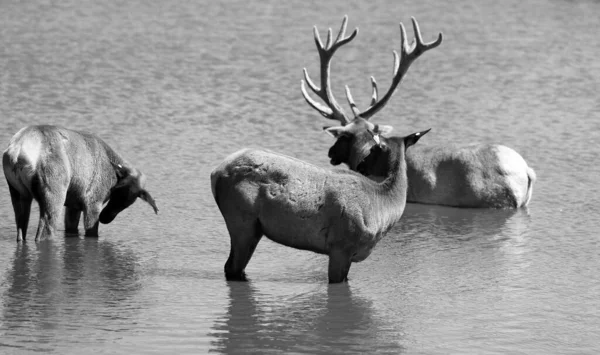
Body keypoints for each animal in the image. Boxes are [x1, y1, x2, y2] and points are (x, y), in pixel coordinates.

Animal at [1, 125, 159, 242]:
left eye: (129, 201)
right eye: (115, 192)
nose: (105, 218)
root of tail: (16, 153)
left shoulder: (73, 205)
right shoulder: (92, 202)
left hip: (18, 194)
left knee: (21, 232)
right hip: (53, 193)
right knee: (44, 233)